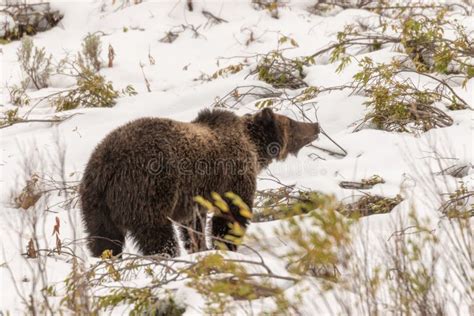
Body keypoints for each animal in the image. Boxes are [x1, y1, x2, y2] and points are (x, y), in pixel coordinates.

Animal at [79, 108, 320, 256]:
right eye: (291, 122)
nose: (316, 126)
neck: (253, 147)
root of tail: (109, 162)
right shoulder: (233, 175)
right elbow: (231, 213)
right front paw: (225, 245)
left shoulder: (195, 196)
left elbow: (193, 226)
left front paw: (200, 247)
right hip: (147, 187)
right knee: (156, 233)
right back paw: (168, 256)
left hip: (95, 201)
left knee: (103, 238)